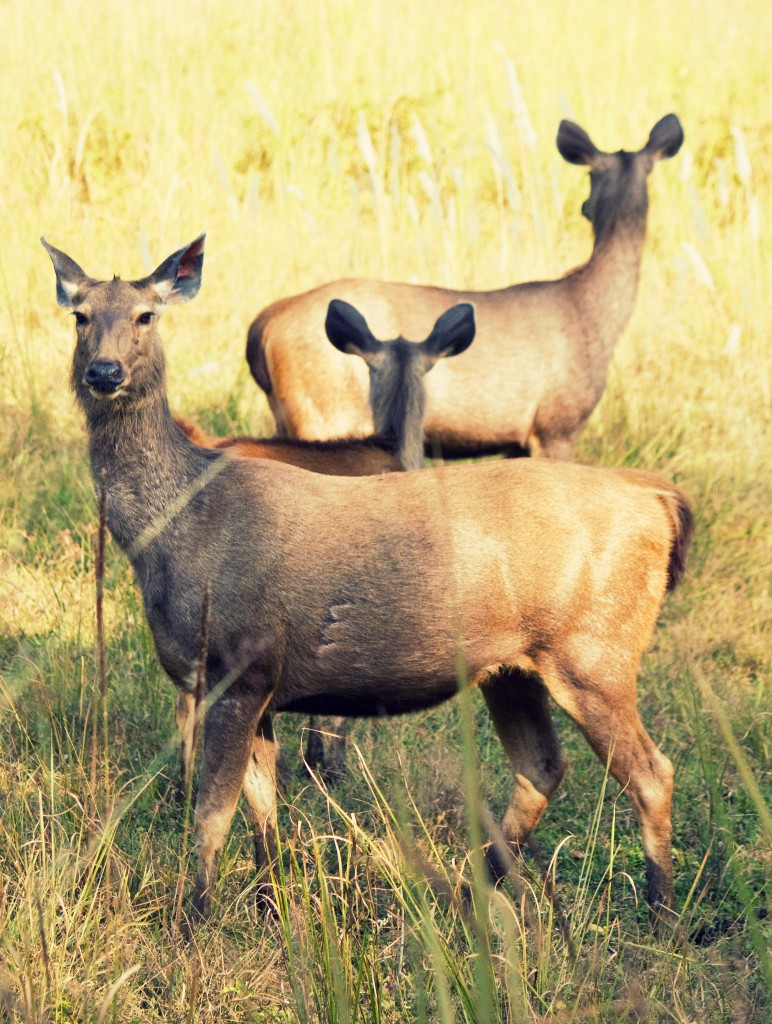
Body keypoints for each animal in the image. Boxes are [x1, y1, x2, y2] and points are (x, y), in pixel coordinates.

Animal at [244, 113, 679, 460]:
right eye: (590, 174)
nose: (585, 207)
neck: (597, 313)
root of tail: (262, 327)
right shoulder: (557, 422)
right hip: (324, 413)